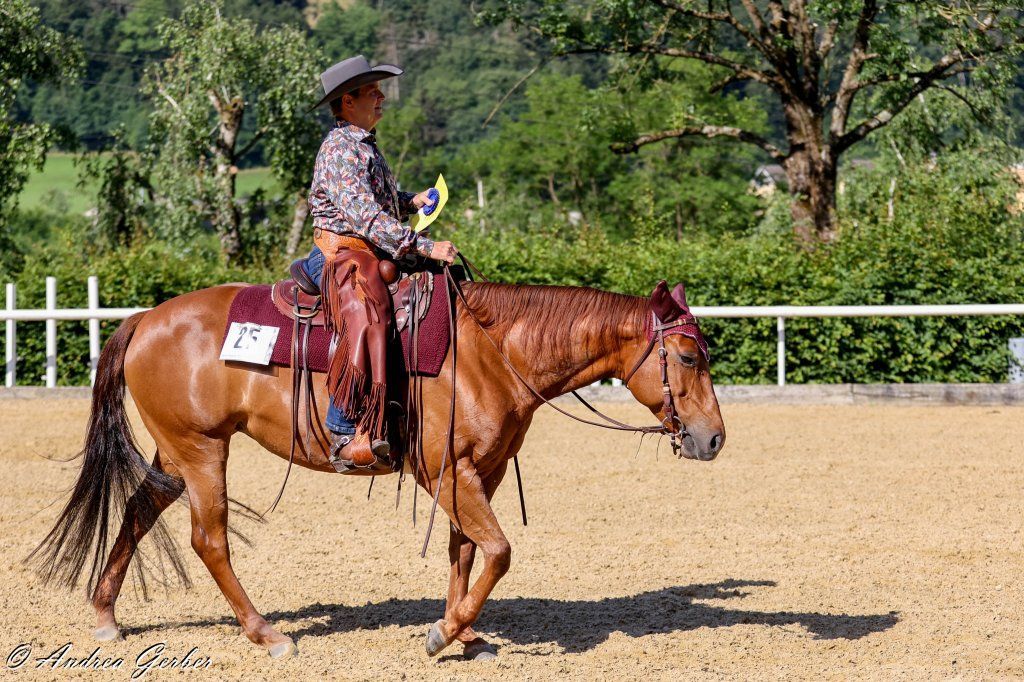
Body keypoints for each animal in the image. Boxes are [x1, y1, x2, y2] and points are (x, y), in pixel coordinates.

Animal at [28, 277, 725, 660]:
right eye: (689, 356)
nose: (714, 438)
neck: (490, 352)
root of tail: (146, 318)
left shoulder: (479, 472)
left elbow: (464, 551)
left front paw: (464, 634)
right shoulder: (448, 472)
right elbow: (499, 550)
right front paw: (444, 634)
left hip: (176, 453)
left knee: (139, 510)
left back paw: (105, 615)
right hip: (203, 450)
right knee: (209, 539)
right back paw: (267, 634)